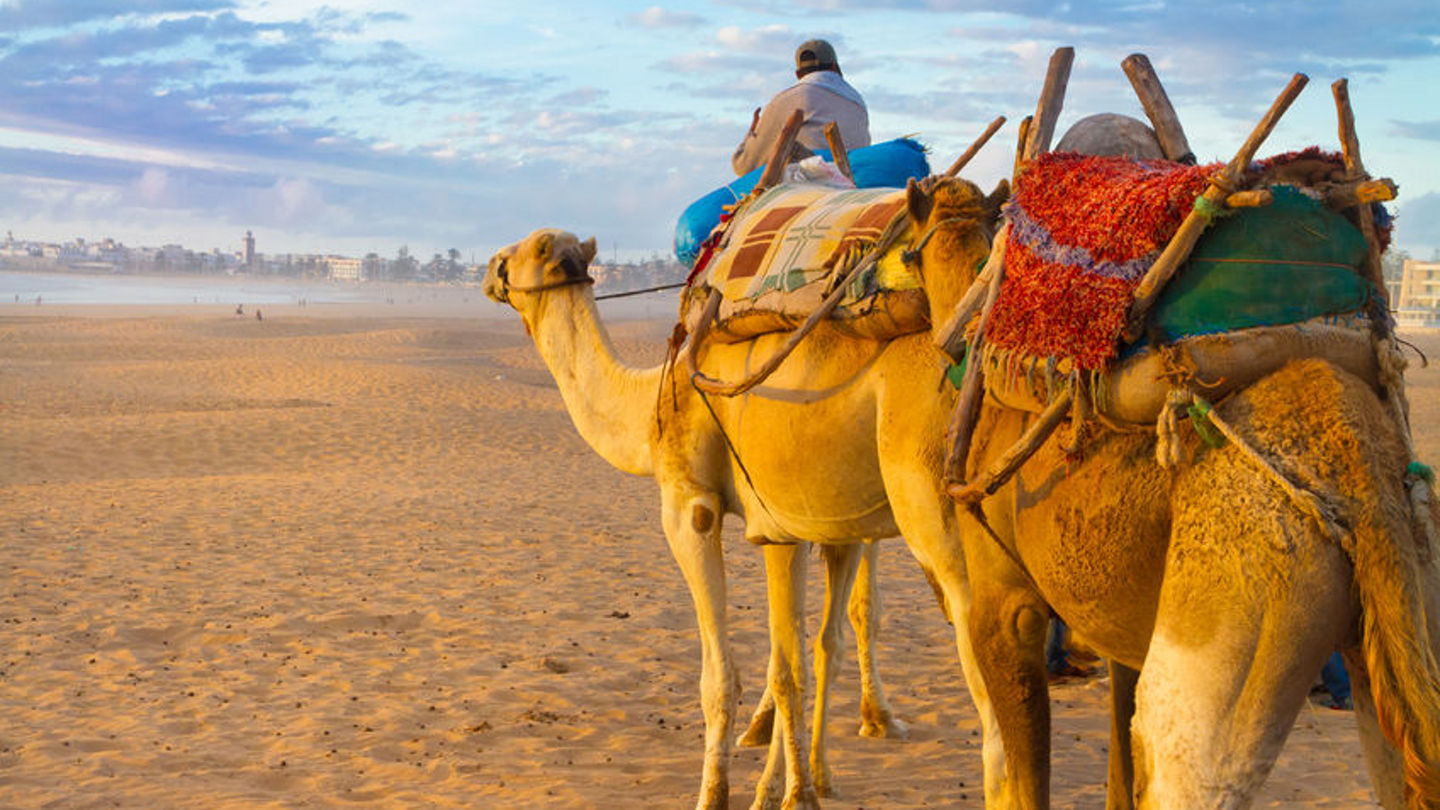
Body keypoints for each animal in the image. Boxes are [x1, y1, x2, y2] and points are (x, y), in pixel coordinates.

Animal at [483, 176, 1008, 809]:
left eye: (530, 249)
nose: (489, 268)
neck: (653, 403)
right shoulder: (801, 520)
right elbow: (804, 652)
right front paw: (801, 784)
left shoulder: (690, 507)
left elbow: (725, 674)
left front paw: (722, 793)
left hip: (934, 498)